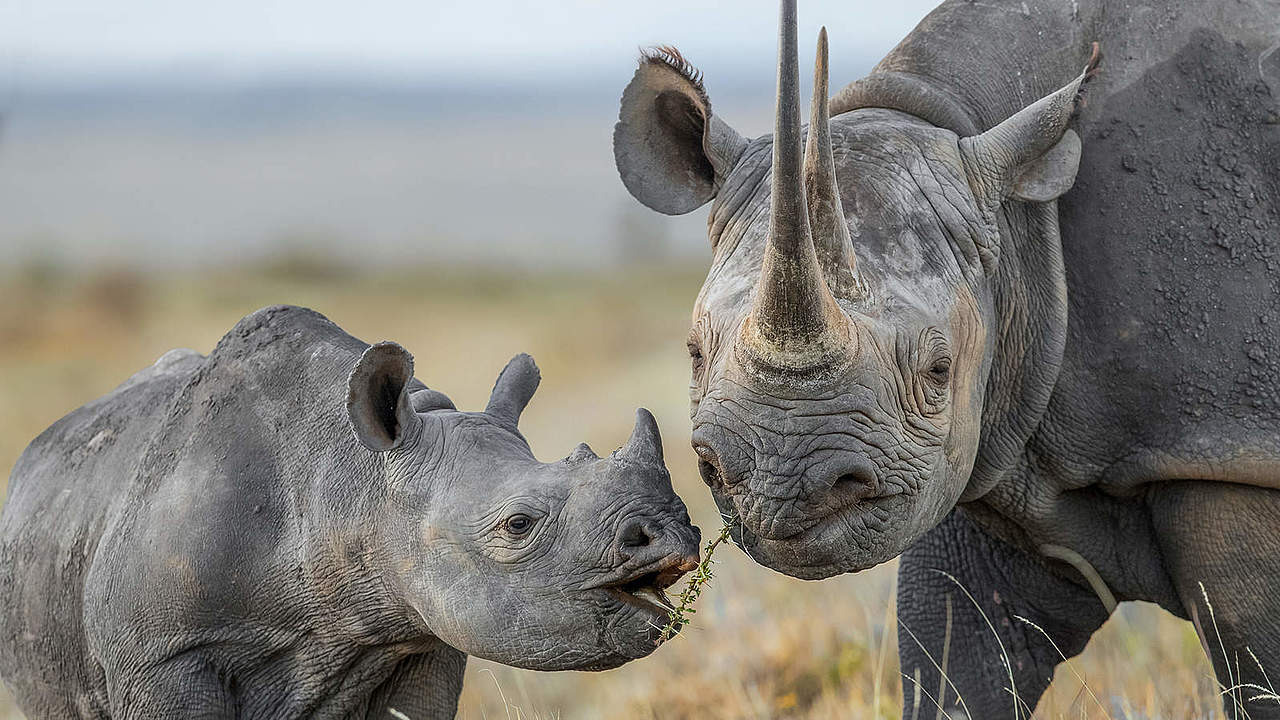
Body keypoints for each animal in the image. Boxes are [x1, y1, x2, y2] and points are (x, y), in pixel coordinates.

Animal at [609, 0, 1280, 712]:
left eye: (938, 370)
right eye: (694, 351)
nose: (781, 486)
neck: (1020, 225)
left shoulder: (1225, 447)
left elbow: (1256, 662)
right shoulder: (981, 454)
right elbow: (954, 656)